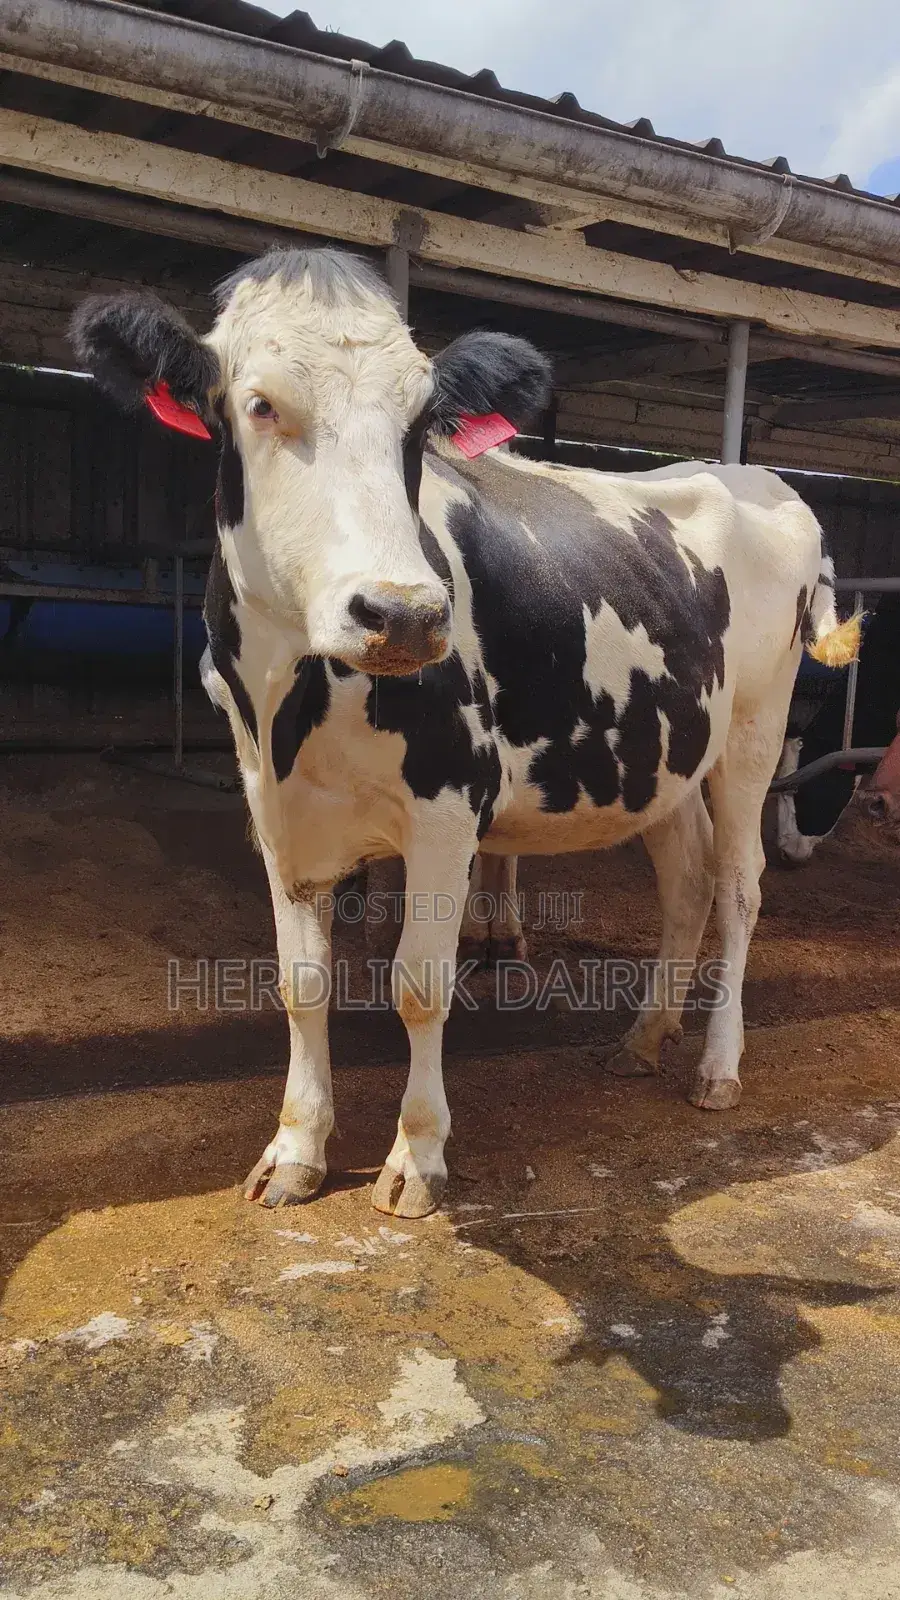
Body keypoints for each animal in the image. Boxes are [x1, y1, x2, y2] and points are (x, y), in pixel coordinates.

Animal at [71, 247, 859, 1218]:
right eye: (258, 404)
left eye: (422, 421)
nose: (405, 613)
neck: (293, 700)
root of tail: (762, 477)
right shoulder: (274, 805)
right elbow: (301, 983)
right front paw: (295, 1149)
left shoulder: (449, 802)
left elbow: (419, 984)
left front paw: (417, 1157)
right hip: (665, 748)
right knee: (688, 883)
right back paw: (644, 1037)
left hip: (754, 728)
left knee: (741, 886)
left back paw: (717, 1066)